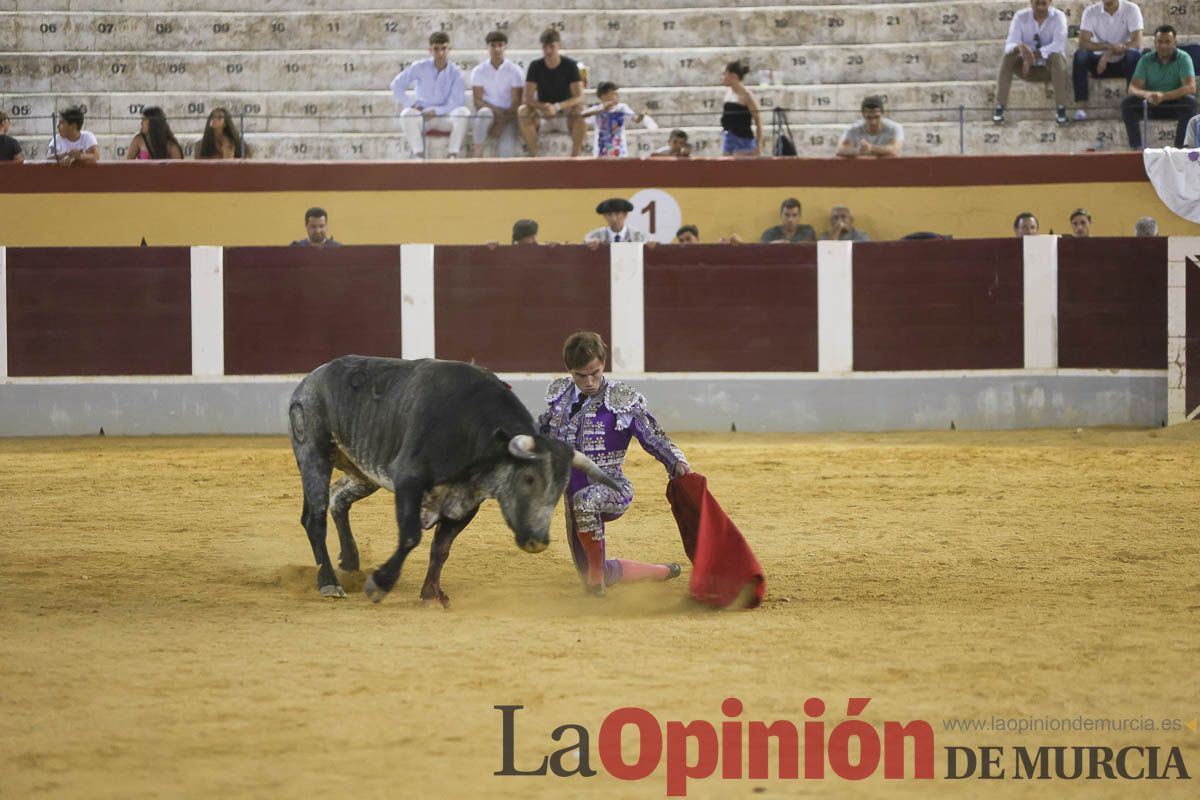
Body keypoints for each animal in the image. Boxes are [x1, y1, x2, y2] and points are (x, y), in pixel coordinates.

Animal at [285, 357, 614, 606]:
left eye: (559, 489)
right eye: (529, 478)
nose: (538, 542)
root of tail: (310, 378)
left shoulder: (466, 502)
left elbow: (441, 548)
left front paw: (431, 595)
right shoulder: (409, 481)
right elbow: (411, 536)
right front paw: (380, 583)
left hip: (363, 471)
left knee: (338, 497)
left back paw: (351, 563)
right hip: (313, 451)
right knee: (314, 517)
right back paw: (329, 582)